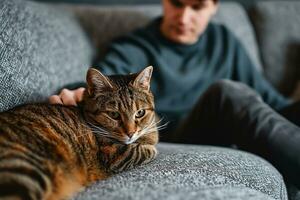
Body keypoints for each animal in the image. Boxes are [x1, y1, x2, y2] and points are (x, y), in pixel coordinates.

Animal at [0, 66, 159, 200]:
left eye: (140, 113)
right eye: (114, 115)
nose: (131, 133)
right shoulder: (115, 155)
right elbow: (145, 151)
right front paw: (151, 147)